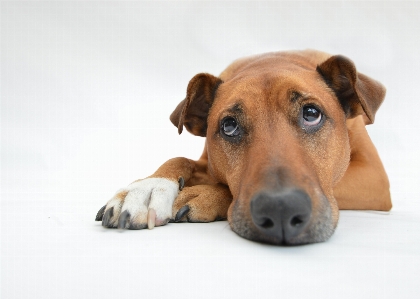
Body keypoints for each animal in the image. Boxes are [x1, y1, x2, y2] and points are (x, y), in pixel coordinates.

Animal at [94, 49, 390, 246]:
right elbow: (179, 158)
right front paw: (148, 188)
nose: (281, 209)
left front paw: (206, 194)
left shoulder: (374, 177)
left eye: (311, 113)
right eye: (229, 126)